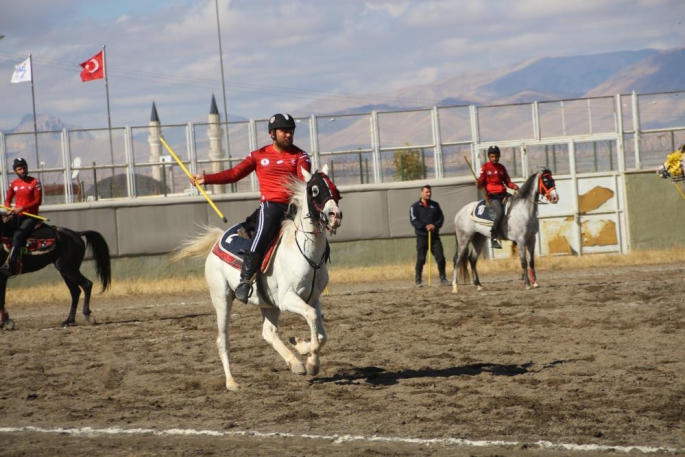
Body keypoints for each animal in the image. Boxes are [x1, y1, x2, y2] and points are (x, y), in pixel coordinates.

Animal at [172, 166, 340, 390]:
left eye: (334, 189)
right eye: (314, 190)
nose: (335, 215)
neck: (305, 252)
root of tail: (218, 240)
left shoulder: (313, 298)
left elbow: (321, 334)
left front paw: (307, 356)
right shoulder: (288, 299)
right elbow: (313, 318)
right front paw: (307, 355)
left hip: (269, 304)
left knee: (268, 332)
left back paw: (295, 363)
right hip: (222, 298)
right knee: (223, 341)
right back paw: (232, 382)